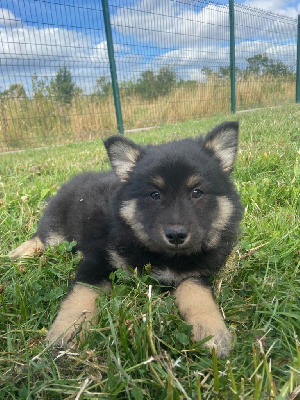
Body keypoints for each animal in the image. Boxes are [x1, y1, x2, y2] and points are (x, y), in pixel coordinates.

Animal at [9, 122, 244, 360]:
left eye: (197, 192)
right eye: (154, 194)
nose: (177, 235)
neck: (161, 254)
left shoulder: (197, 273)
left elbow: (198, 294)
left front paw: (212, 331)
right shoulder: (97, 257)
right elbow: (82, 294)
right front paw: (68, 330)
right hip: (57, 234)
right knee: (41, 237)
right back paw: (18, 254)